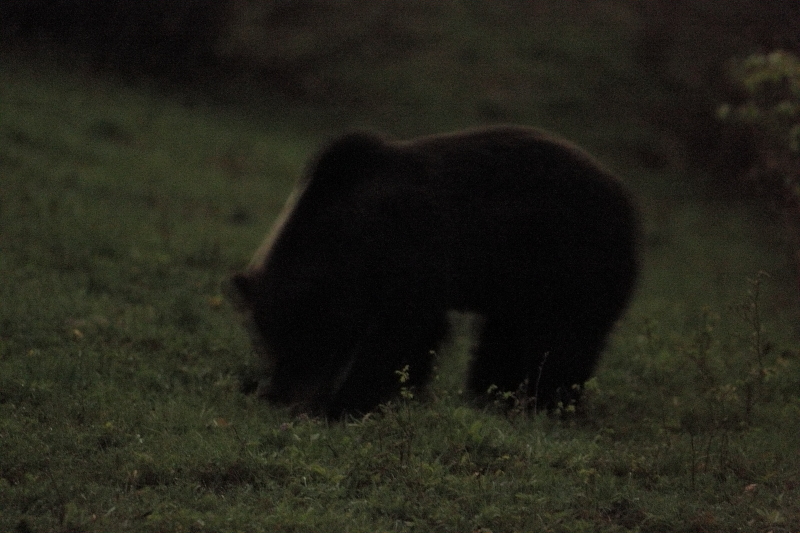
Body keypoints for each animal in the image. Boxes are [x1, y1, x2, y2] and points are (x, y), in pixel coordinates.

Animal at [231, 123, 636, 416]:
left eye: (304, 340)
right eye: (264, 342)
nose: (284, 396)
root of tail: (626, 197)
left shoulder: (414, 245)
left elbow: (405, 332)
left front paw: (345, 404)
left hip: (570, 266)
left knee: (561, 342)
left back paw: (544, 404)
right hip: (519, 289)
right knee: (503, 339)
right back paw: (492, 396)